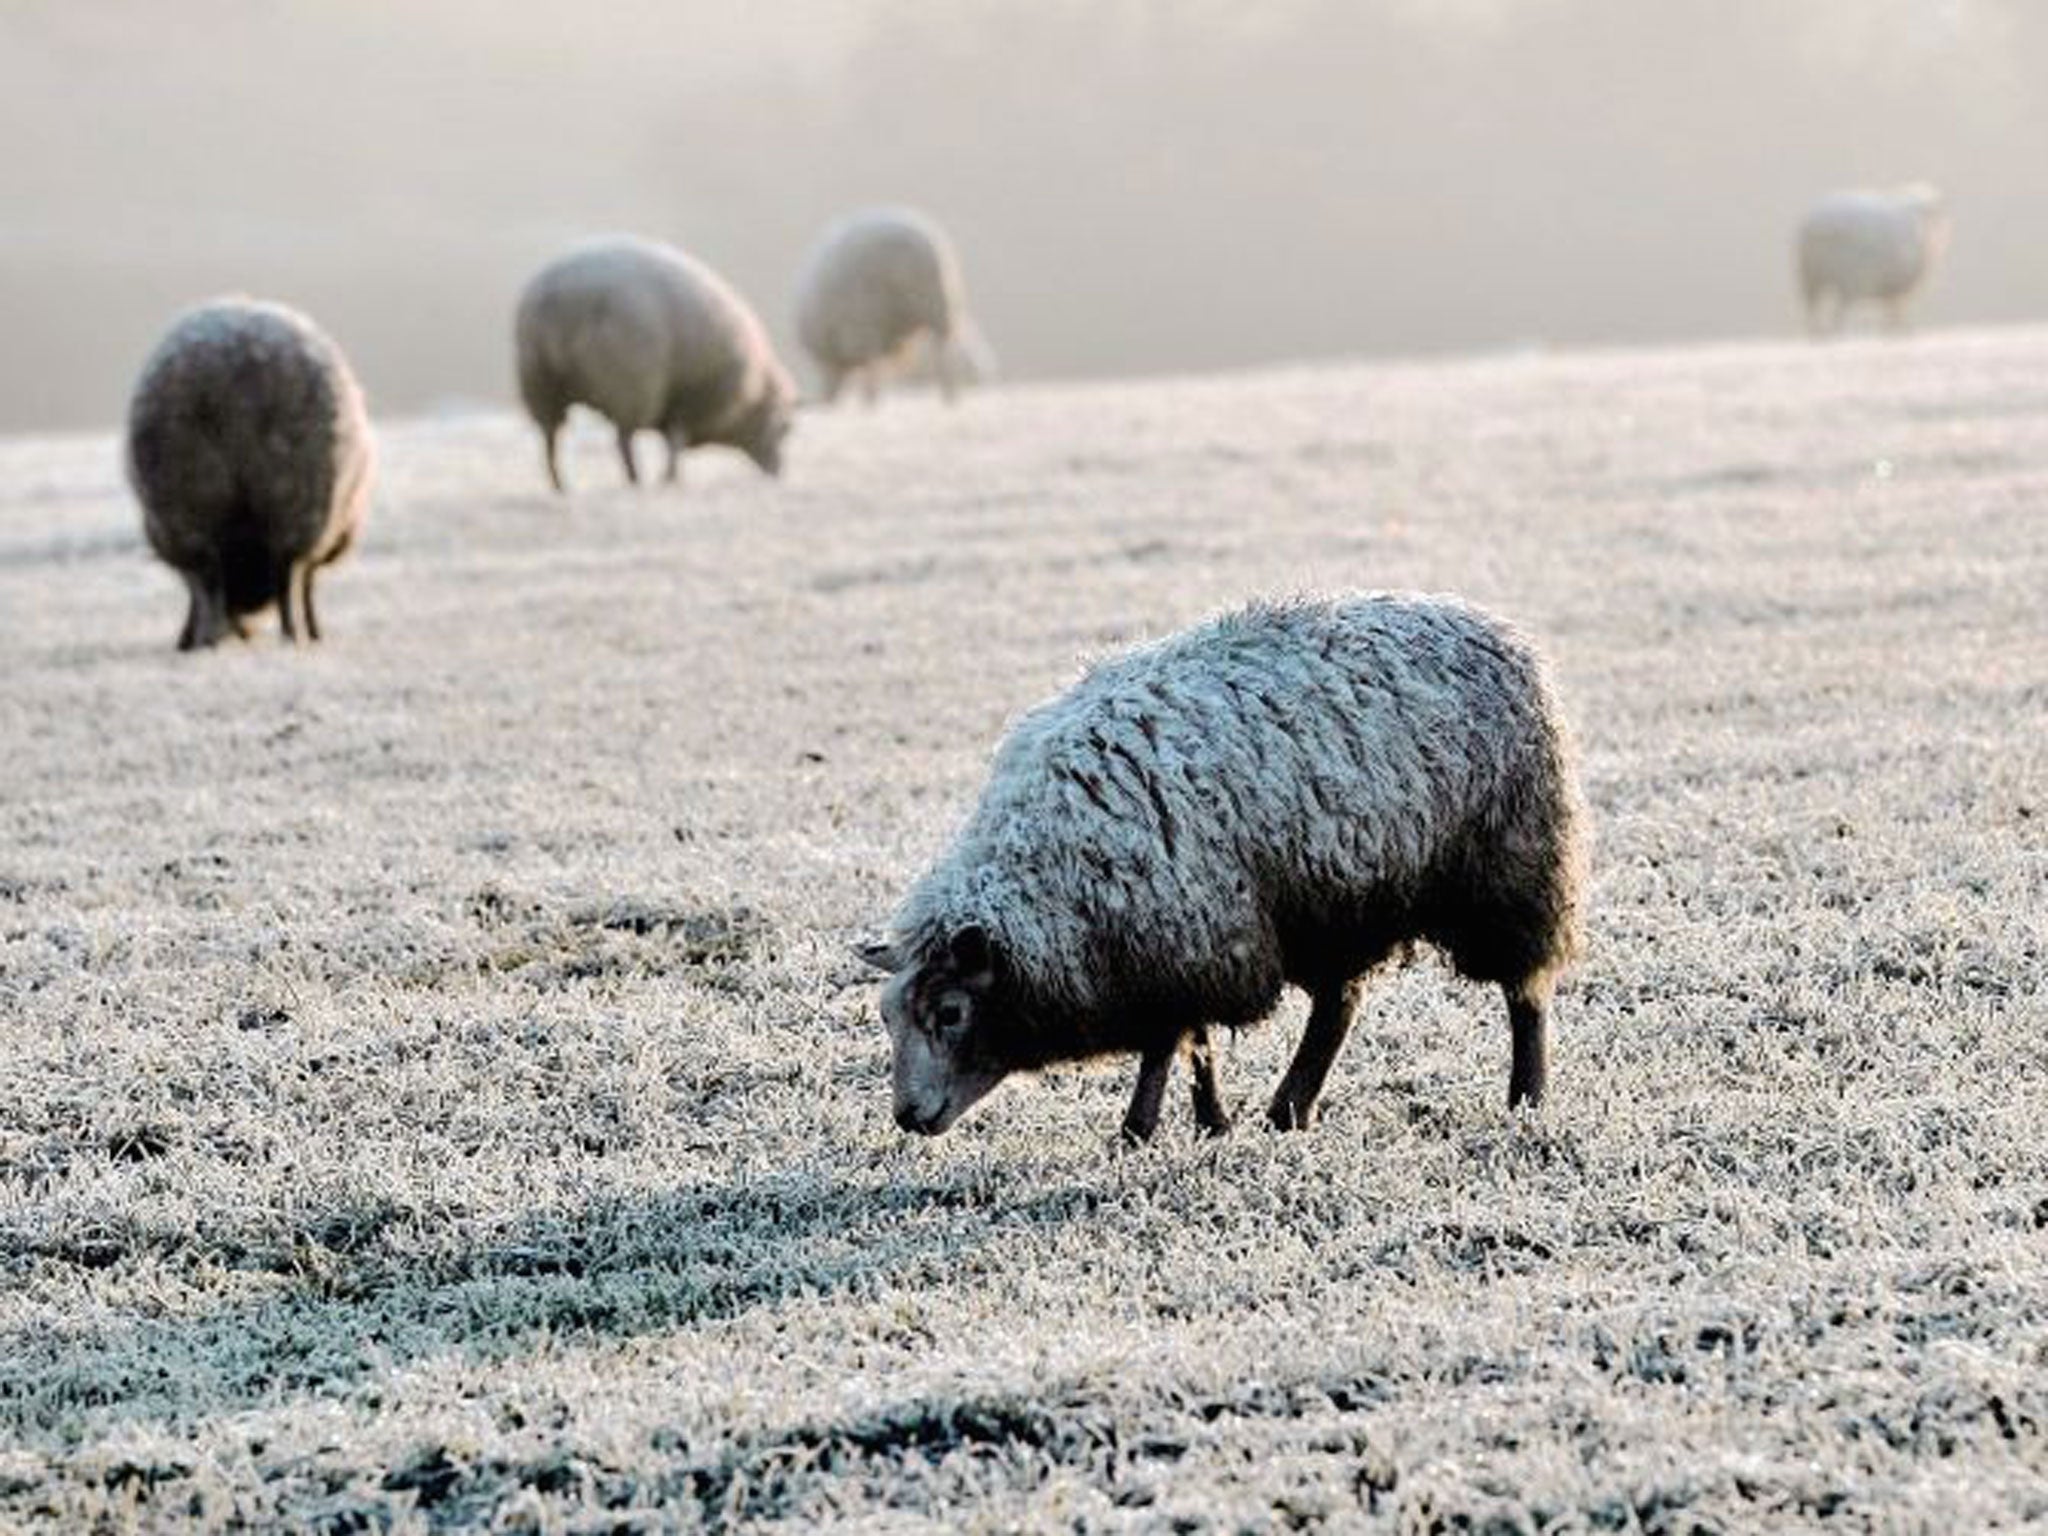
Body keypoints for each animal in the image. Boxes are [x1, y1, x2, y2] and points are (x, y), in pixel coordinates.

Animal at [126, 299, 376, 651]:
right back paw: (281, 637)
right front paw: (314, 632)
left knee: (212, 578)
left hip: (192, 510)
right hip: (293, 506)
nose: (243, 629)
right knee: (280, 580)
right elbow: (307, 587)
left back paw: (212, 641)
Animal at [516, 234, 794, 493]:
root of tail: (560, 295)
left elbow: (672, 440)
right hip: (630, 387)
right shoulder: (690, 401)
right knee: (623, 441)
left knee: (550, 441)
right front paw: (670, 479)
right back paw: (634, 481)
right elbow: (676, 441)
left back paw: (561, 487)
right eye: (786, 428)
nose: (778, 473)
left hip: (541, 386)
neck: (756, 393)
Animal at [856, 593, 1589, 1146]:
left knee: (1524, 989)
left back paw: (1526, 1095)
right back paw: (1290, 1109)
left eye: (951, 1011)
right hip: (1334, 898)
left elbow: (1169, 1041)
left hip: (1510, 866)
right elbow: (1193, 1039)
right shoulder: (1183, 940)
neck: (1054, 877)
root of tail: (1489, 625)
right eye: (888, 1018)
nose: (908, 1117)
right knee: (1339, 1005)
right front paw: (1210, 1122)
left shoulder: (1193, 934)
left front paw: (1141, 1129)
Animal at [1794, 185, 1949, 337]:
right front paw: (1899, 329)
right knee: (1840, 311)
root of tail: (1820, 224)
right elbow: (1896, 310)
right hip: (1849, 278)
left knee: (1813, 306)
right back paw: (1838, 332)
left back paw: (1818, 331)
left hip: (1810, 276)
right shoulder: (1897, 286)